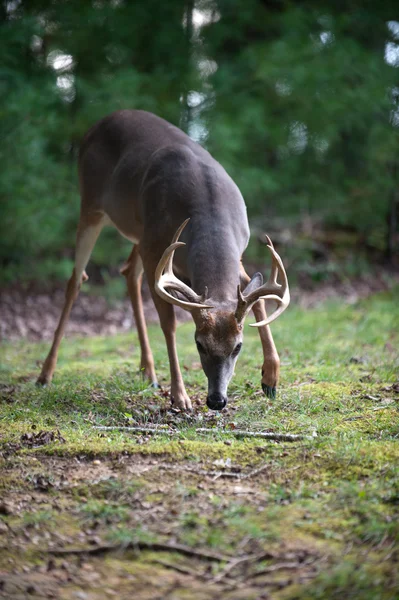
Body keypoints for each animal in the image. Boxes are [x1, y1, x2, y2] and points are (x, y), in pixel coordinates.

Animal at [36, 110, 290, 410]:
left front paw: (271, 379)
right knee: (76, 280)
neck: (209, 212)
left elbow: (257, 297)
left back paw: (149, 372)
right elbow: (168, 322)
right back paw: (45, 375)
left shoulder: (235, 255)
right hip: (92, 206)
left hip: (138, 231)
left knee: (128, 272)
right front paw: (180, 397)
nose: (217, 400)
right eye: (199, 344)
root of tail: (97, 124)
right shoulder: (155, 248)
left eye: (238, 346)